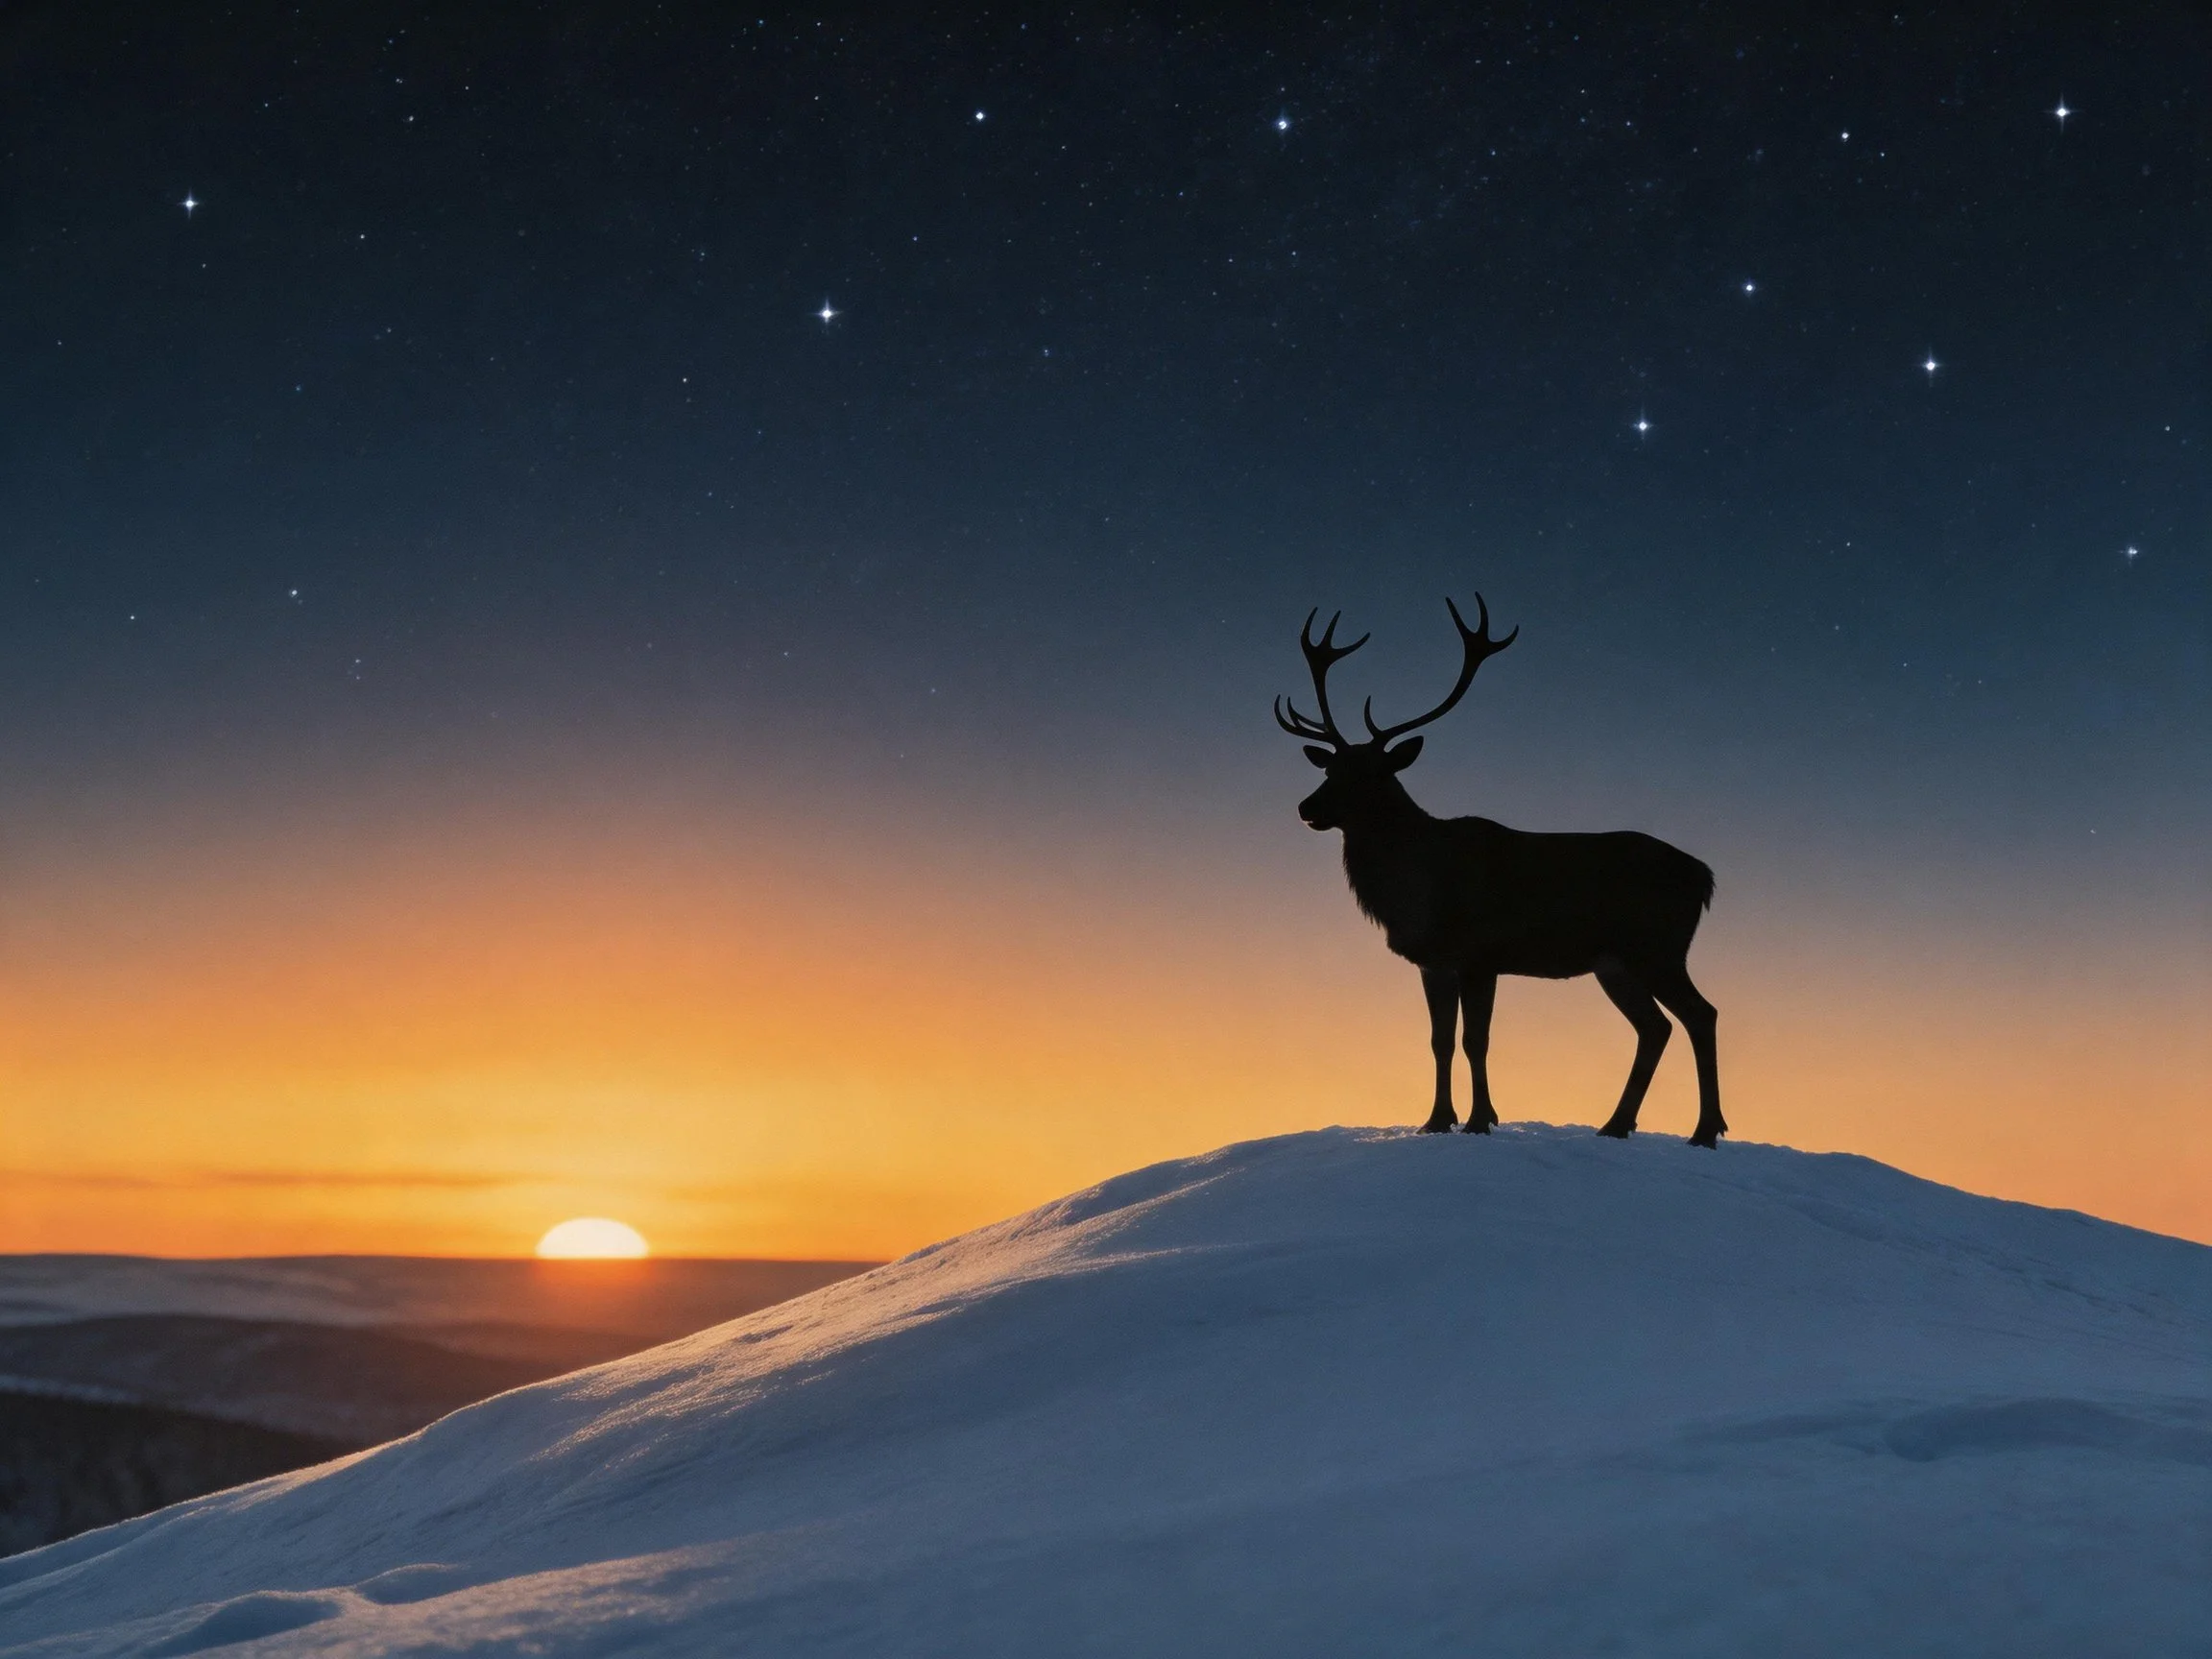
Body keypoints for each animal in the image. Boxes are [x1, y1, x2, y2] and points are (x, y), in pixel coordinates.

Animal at [1277, 598, 1727, 1147]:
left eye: (1371, 773)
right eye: (1328, 769)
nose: (1307, 807)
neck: (1418, 891)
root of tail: (1703, 876)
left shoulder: (1480, 954)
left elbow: (1476, 1039)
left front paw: (1480, 1119)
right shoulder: (1434, 962)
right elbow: (1440, 1040)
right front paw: (1436, 1120)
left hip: (1658, 947)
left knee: (1700, 1014)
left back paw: (1704, 1130)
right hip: (1616, 963)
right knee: (1656, 1027)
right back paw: (1617, 1125)